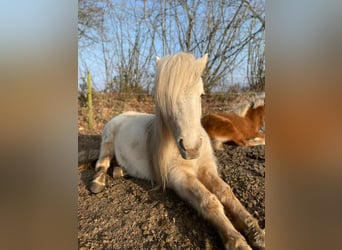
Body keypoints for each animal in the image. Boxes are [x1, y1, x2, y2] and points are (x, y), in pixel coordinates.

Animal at [90, 51, 264, 249]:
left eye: (201, 94)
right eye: (166, 100)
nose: (191, 148)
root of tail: (122, 115)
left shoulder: (207, 169)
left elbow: (226, 193)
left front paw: (257, 233)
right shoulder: (178, 177)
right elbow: (209, 200)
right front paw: (236, 241)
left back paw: (120, 171)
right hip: (107, 142)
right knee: (102, 163)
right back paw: (98, 182)